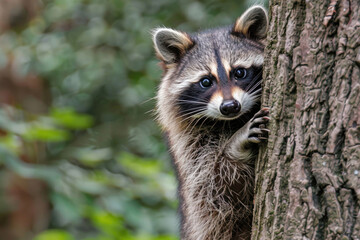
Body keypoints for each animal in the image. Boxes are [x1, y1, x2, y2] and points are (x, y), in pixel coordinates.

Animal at [153, 5, 268, 240]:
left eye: (239, 72)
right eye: (206, 81)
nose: (230, 106)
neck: (234, 120)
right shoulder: (189, 147)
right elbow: (213, 190)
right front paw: (236, 145)